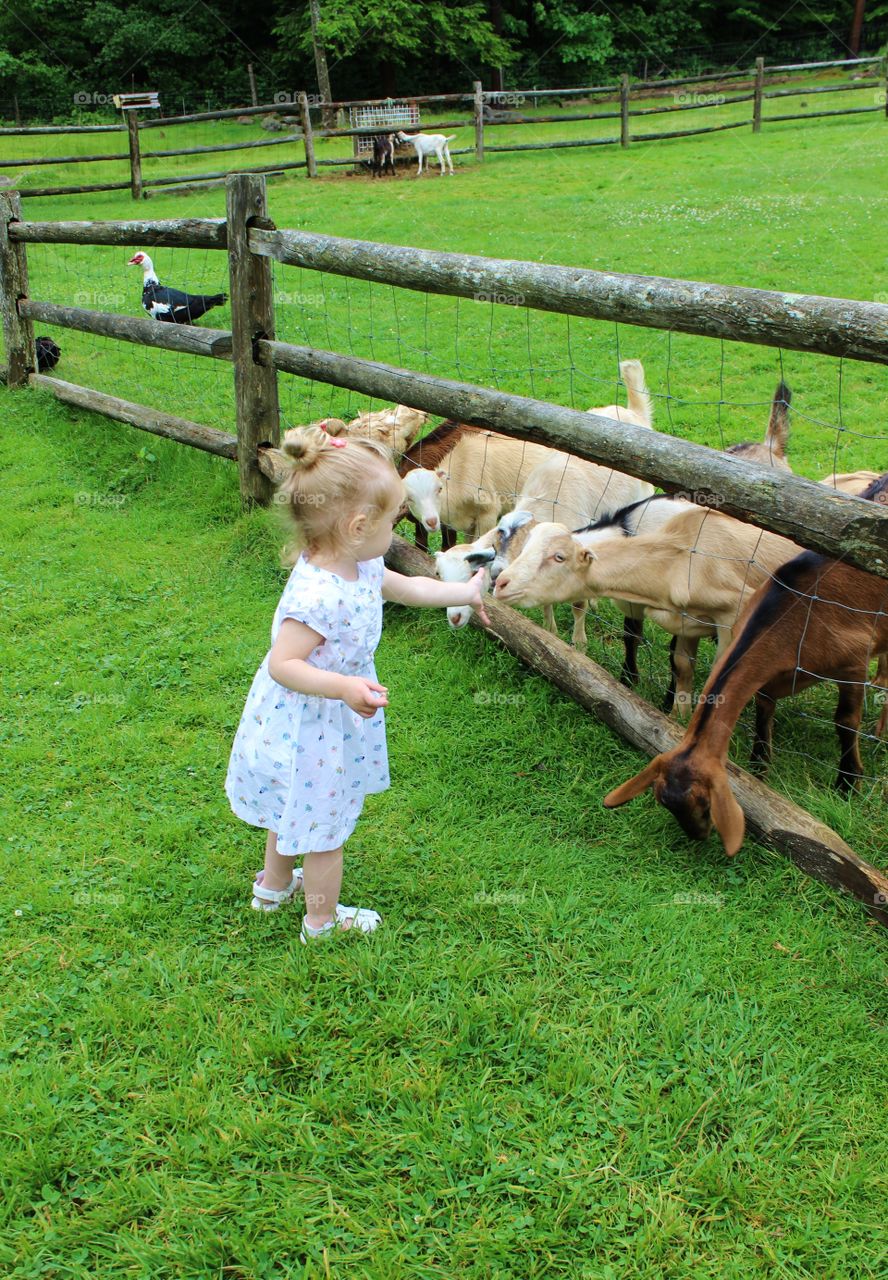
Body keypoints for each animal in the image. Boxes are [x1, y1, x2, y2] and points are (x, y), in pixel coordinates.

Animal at [603, 474, 888, 854]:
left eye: (704, 803)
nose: (699, 836)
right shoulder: (768, 672)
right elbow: (763, 713)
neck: (794, 615)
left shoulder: (853, 663)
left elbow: (844, 722)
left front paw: (848, 783)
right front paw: (759, 768)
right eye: (662, 799)